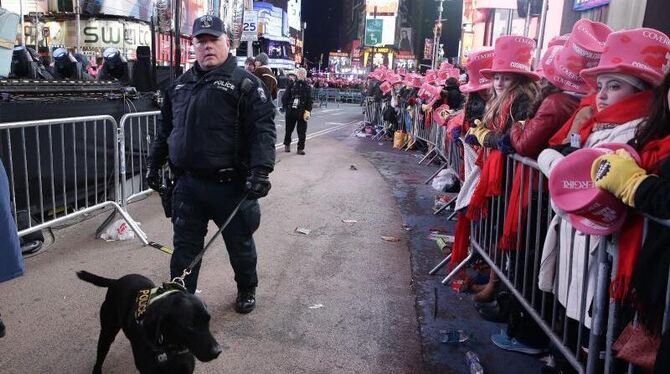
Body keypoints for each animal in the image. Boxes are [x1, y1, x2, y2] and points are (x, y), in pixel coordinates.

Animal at [77, 272, 222, 374]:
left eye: (208, 320)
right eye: (190, 326)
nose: (218, 351)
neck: (169, 347)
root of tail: (116, 281)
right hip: (107, 333)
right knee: (99, 359)